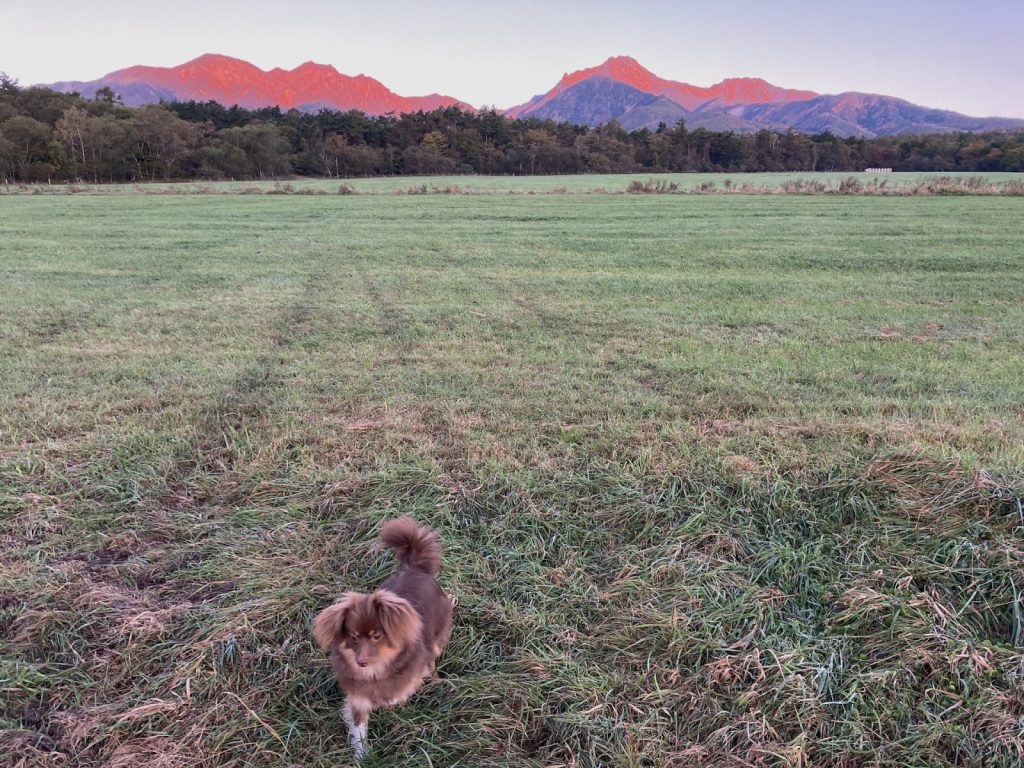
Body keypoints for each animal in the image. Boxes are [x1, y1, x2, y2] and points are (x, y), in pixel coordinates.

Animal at [313, 518, 454, 757]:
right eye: (353, 636)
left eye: (376, 636)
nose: (361, 662)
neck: (376, 671)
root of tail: (414, 567)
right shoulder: (358, 697)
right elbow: (359, 726)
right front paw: (361, 755)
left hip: (437, 638)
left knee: (432, 661)